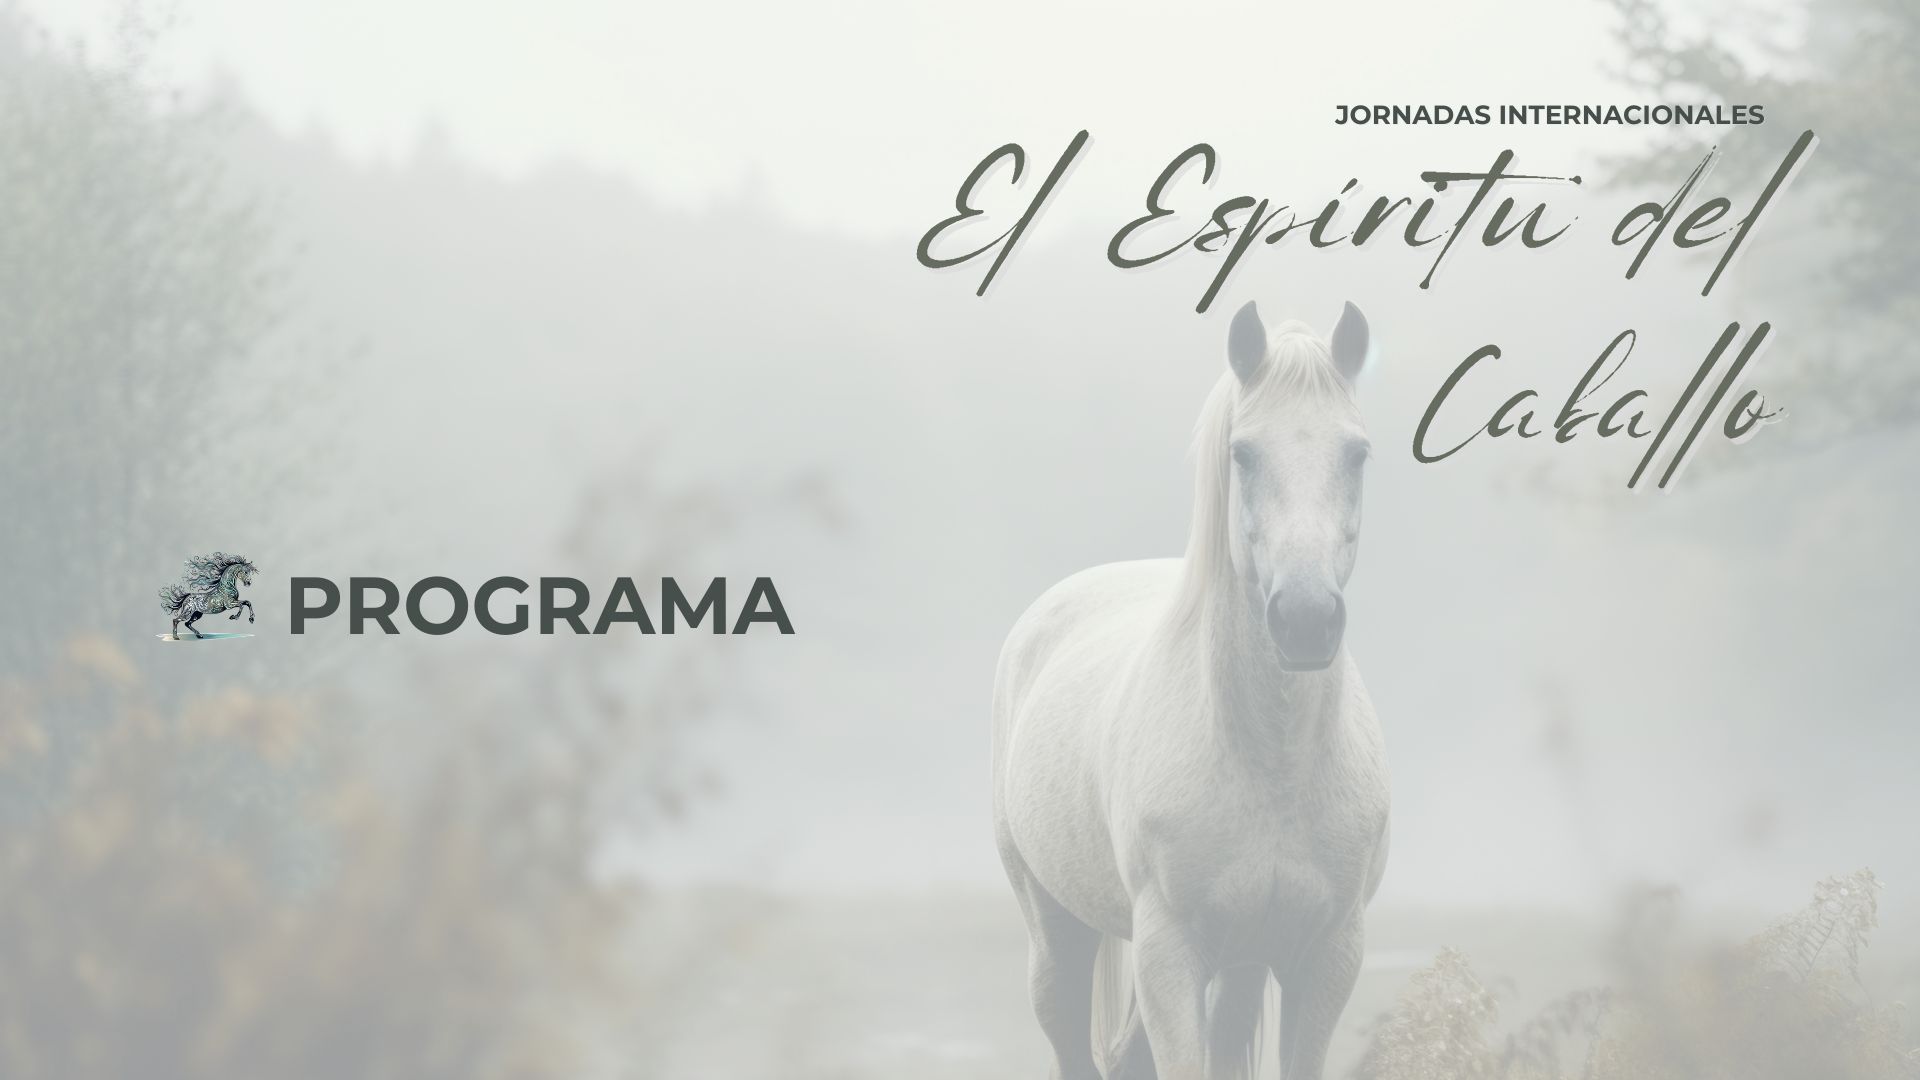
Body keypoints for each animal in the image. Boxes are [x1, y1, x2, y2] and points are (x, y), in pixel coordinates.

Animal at [991, 301, 1390, 1080]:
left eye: (1356, 454)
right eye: (1244, 454)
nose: (1304, 619)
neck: (1271, 763)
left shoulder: (1327, 959)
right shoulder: (1168, 955)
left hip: (1238, 966)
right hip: (1058, 932)